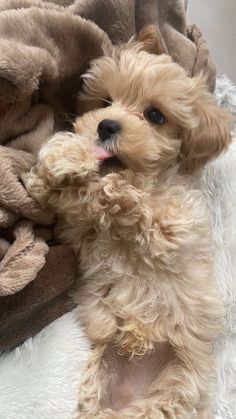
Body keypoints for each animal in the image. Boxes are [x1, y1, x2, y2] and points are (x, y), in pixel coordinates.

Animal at [24, 27, 232, 419]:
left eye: (155, 115)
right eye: (105, 101)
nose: (106, 125)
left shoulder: (174, 226)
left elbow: (132, 199)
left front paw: (105, 181)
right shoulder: (75, 229)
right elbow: (65, 200)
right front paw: (61, 159)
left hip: (176, 386)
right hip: (100, 376)